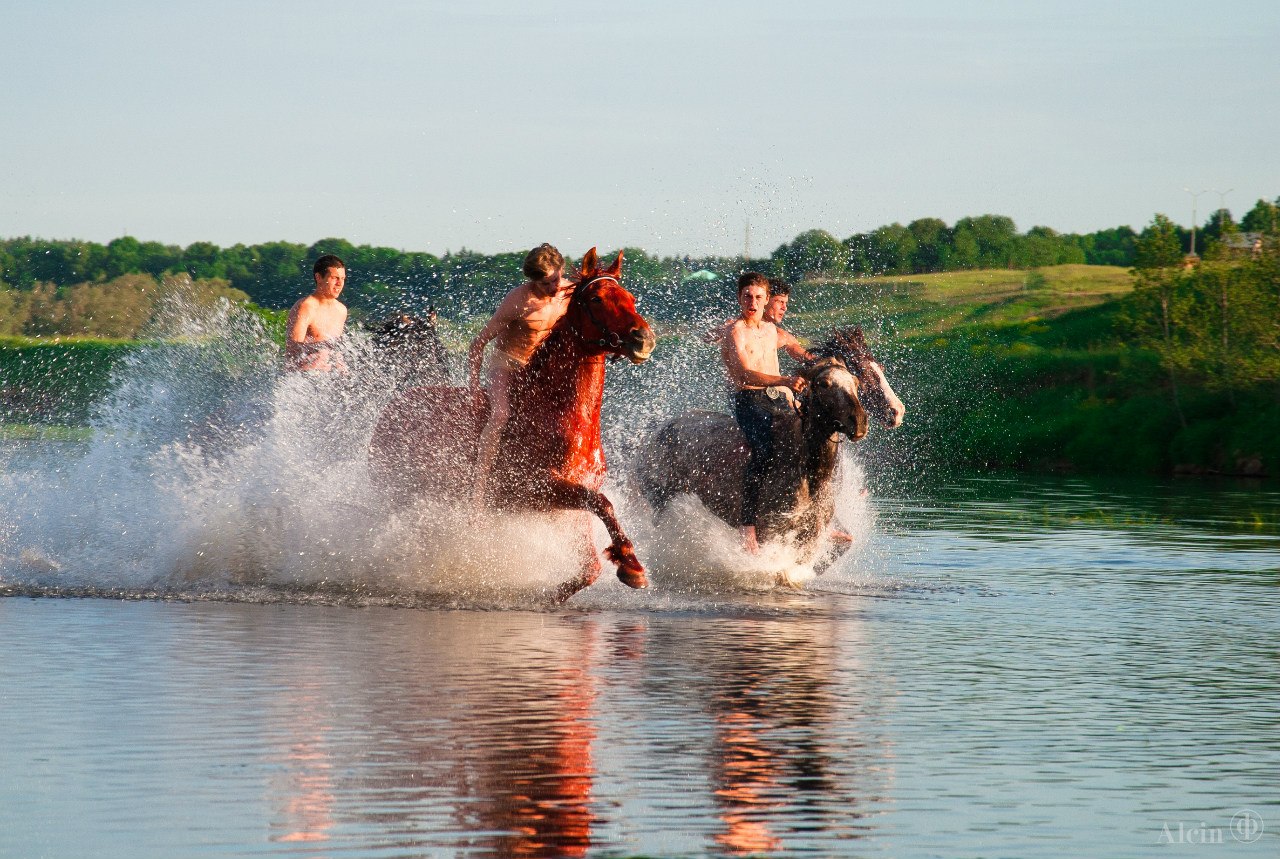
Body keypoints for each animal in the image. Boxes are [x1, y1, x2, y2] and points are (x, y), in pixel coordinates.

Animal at [368, 248, 650, 599]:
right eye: (596, 299)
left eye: (631, 298)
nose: (644, 338)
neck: (557, 414)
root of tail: (394, 406)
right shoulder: (533, 490)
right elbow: (603, 504)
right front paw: (631, 564)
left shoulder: (576, 494)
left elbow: (591, 563)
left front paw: (623, 565)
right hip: (394, 492)